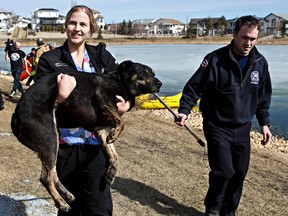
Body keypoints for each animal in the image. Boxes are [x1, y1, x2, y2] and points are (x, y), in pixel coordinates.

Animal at [11, 60, 162, 212]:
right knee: (45, 177)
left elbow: (114, 154)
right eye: (144, 72)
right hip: (49, 138)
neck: (119, 81)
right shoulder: (103, 95)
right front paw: (115, 134)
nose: (160, 83)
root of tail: (15, 116)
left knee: (52, 173)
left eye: (153, 73)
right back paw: (61, 202)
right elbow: (122, 122)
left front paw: (111, 171)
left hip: (51, 142)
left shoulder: (101, 129)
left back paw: (66, 194)